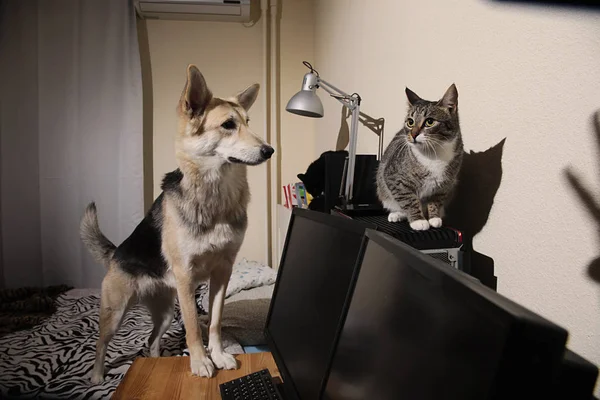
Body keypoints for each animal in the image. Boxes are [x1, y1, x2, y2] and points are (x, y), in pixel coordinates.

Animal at [80, 64, 274, 382]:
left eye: (248, 122)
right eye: (228, 125)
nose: (270, 150)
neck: (215, 194)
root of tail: (116, 252)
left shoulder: (222, 272)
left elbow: (215, 321)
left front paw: (219, 355)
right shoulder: (186, 278)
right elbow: (194, 326)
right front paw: (200, 362)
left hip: (167, 313)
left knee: (150, 340)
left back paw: (157, 362)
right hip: (116, 311)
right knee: (101, 343)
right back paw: (97, 375)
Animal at [376, 83, 464, 230]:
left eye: (430, 122)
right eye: (410, 122)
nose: (413, 134)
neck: (433, 154)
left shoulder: (445, 185)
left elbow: (436, 201)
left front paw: (434, 218)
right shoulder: (394, 178)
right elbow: (408, 199)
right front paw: (418, 221)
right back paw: (397, 214)